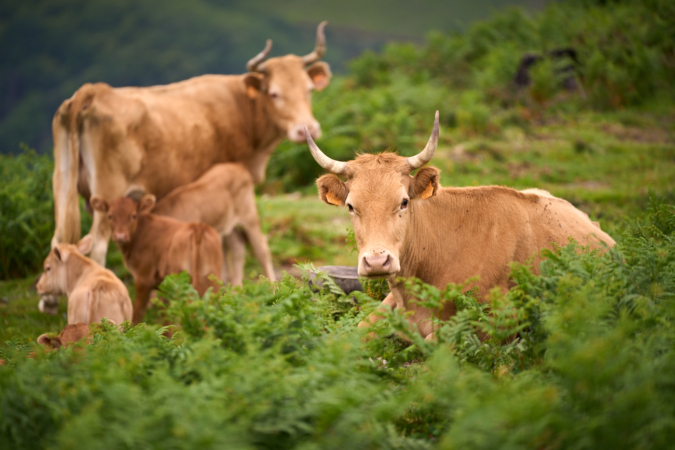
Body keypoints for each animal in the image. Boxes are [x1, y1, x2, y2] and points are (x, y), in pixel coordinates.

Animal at [52, 22, 332, 268]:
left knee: (60, 241)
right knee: (98, 247)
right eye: (274, 93)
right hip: (109, 192)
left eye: (309, 89)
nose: (307, 128)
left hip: (64, 189)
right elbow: (231, 246)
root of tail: (95, 91)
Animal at [89, 194, 222, 324]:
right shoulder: (162, 285)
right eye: (110, 216)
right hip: (212, 278)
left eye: (133, 215)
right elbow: (165, 315)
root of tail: (197, 226)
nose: (120, 236)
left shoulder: (143, 278)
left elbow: (138, 312)